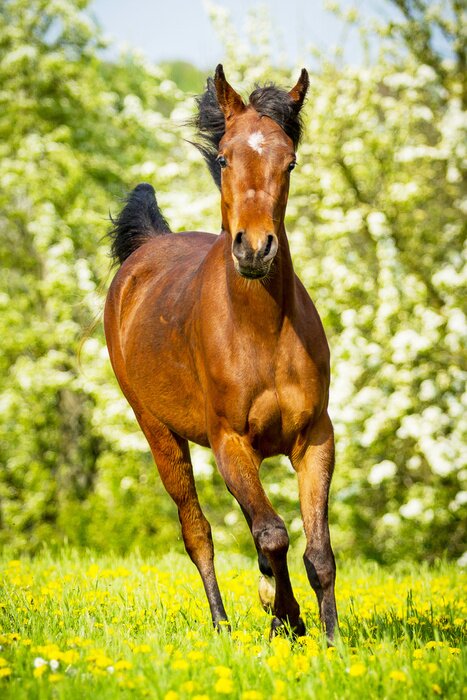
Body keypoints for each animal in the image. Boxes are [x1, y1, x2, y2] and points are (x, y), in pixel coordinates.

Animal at [104, 65, 338, 641]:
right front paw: (287, 619)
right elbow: (273, 532)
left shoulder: (315, 439)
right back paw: (221, 622)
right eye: (227, 156)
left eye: (290, 160)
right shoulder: (231, 442)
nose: (254, 248)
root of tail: (146, 248)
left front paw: (330, 636)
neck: (261, 331)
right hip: (158, 432)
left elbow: (317, 552)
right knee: (197, 531)